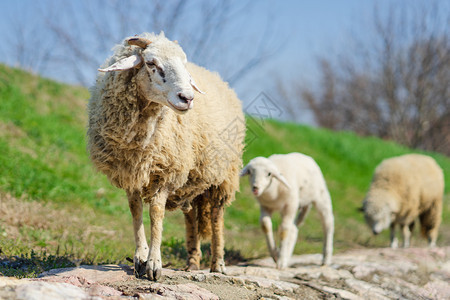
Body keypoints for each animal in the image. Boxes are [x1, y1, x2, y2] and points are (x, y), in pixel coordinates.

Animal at [86, 32, 244, 282]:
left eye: (184, 65)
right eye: (151, 63)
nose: (187, 98)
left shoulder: (166, 172)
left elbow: (156, 212)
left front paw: (153, 263)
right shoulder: (130, 172)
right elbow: (135, 209)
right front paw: (140, 257)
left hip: (223, 174)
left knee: (217, 217)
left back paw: (218, 264)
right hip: (192, 177)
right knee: (191, 217)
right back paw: (192, 262)